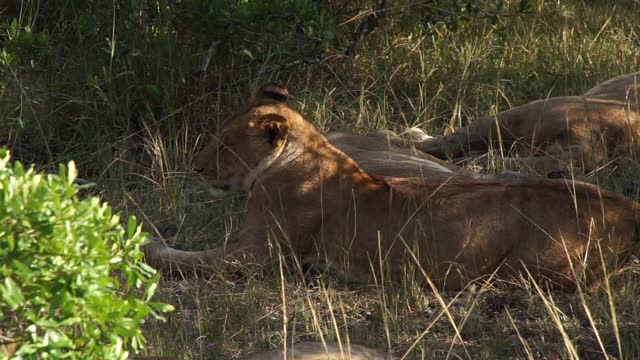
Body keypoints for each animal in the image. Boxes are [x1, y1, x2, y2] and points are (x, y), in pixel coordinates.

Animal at [145, 83, 640, 290]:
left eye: (226, 144)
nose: (197, 169)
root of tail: (625, 207)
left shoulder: (255, 257)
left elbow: (188, 260)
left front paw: (148, 246)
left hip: (533, 266)